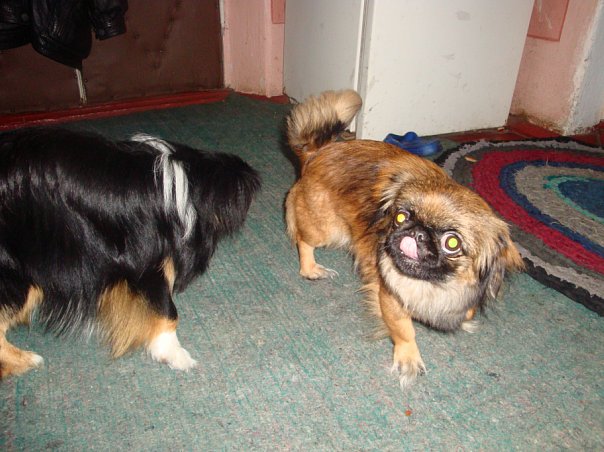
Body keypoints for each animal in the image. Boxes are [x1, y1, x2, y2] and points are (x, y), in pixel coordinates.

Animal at [285, 90, 524, 387]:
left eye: (452, 243)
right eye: (400, 217)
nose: (417, 231)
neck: (433, 284)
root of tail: (318, 151)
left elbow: (465, 310)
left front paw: (464, 319)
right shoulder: (390, 296)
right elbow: (404, 329)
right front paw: (408, 360)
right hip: (326, 228)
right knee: (304, 241)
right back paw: (312, 269)